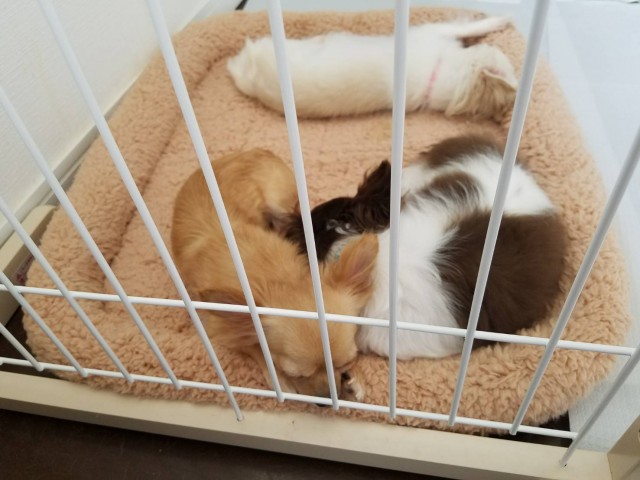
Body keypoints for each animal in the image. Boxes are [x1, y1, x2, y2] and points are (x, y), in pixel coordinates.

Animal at [172, 149, 376, 399]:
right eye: (295, 374)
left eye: (343, 364)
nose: (325, 399)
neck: (273, 278)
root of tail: (251, 151)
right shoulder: (219, 326)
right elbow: (254, 345)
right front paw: (279, 379)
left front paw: (354, 378)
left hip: (278, 201)